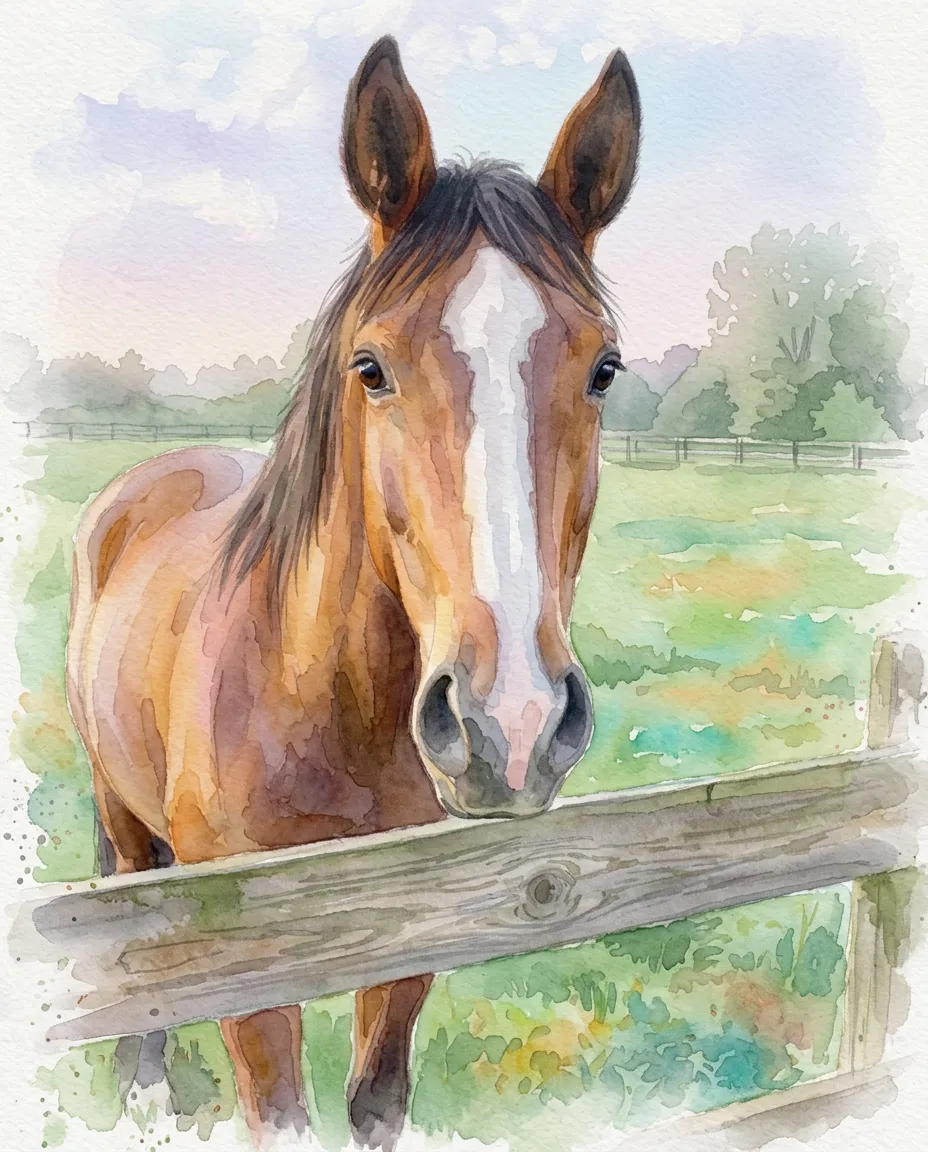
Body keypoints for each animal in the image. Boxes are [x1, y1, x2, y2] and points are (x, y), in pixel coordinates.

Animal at [66, 35, 640, 1150]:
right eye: (370, 367)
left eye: (603, 369)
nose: (510, 725)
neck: (320, 701)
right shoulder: (252, 982)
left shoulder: (408, 949)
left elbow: (376, 1098)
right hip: (125, 816)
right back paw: (145, 1091)